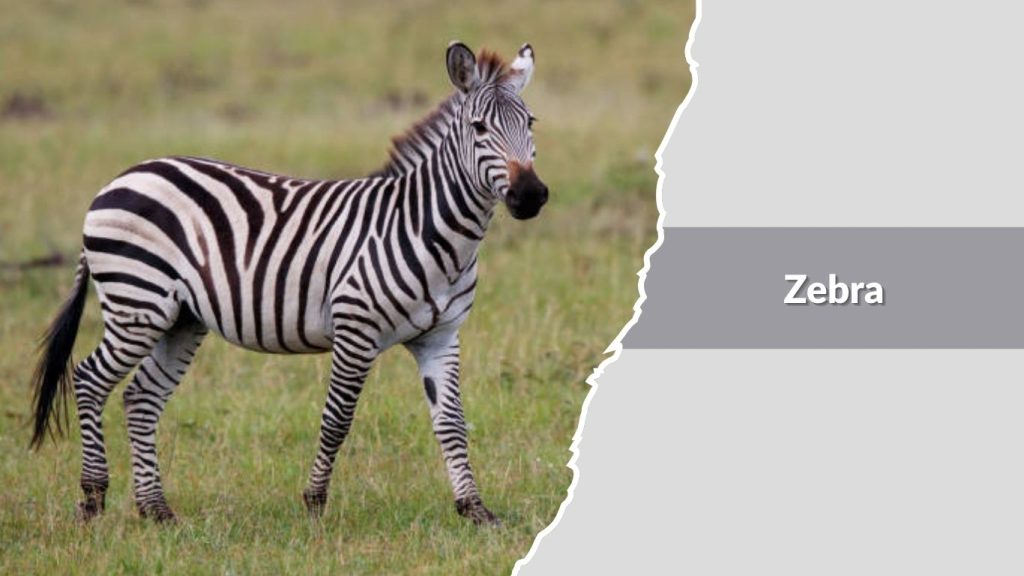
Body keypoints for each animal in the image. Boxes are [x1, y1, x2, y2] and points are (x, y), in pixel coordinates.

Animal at [29, 41, 548, 526]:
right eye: (479, 129)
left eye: (531, 123)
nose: (531, 196)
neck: (429, 231)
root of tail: (118, 179)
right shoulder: (355, 330)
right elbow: (337, 419)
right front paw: (315, 503)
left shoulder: (440, 337)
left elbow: (452, 423)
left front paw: (475, 509)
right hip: (137, 304)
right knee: (89, 378)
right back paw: (93, 497)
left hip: (180, 319)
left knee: (141, 397)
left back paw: (156, 510)